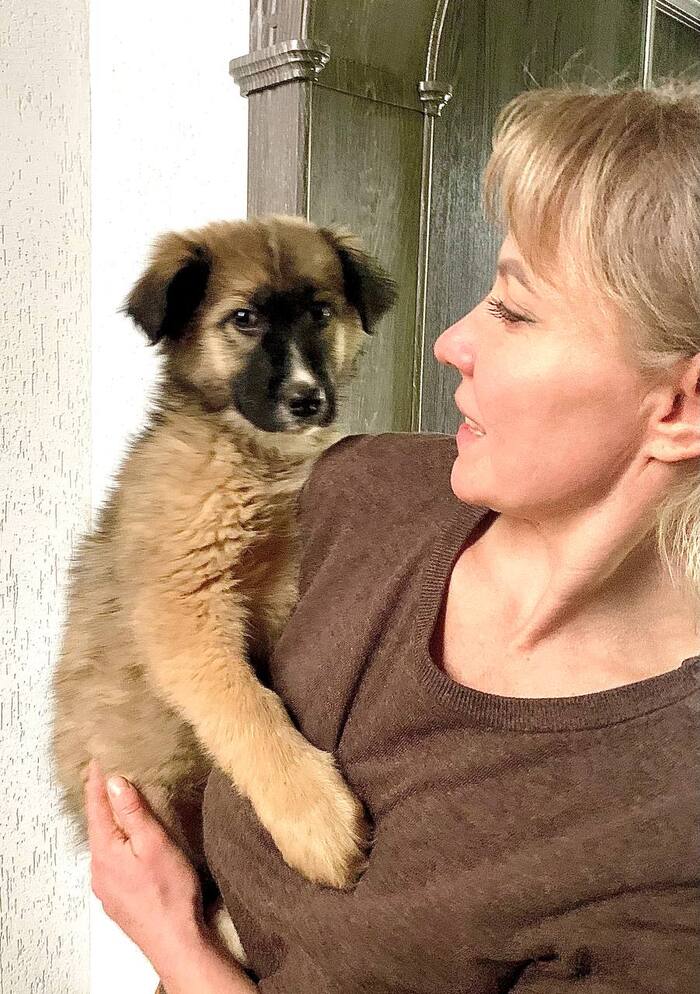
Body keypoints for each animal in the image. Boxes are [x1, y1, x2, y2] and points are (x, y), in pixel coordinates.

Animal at [51, 216, 396, 916]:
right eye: (244, 319)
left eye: (321, 313)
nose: (306, 399)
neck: (253, 455)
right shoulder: (186, 607)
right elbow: (249, 708)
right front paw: (316, 818)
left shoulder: (286, 576)